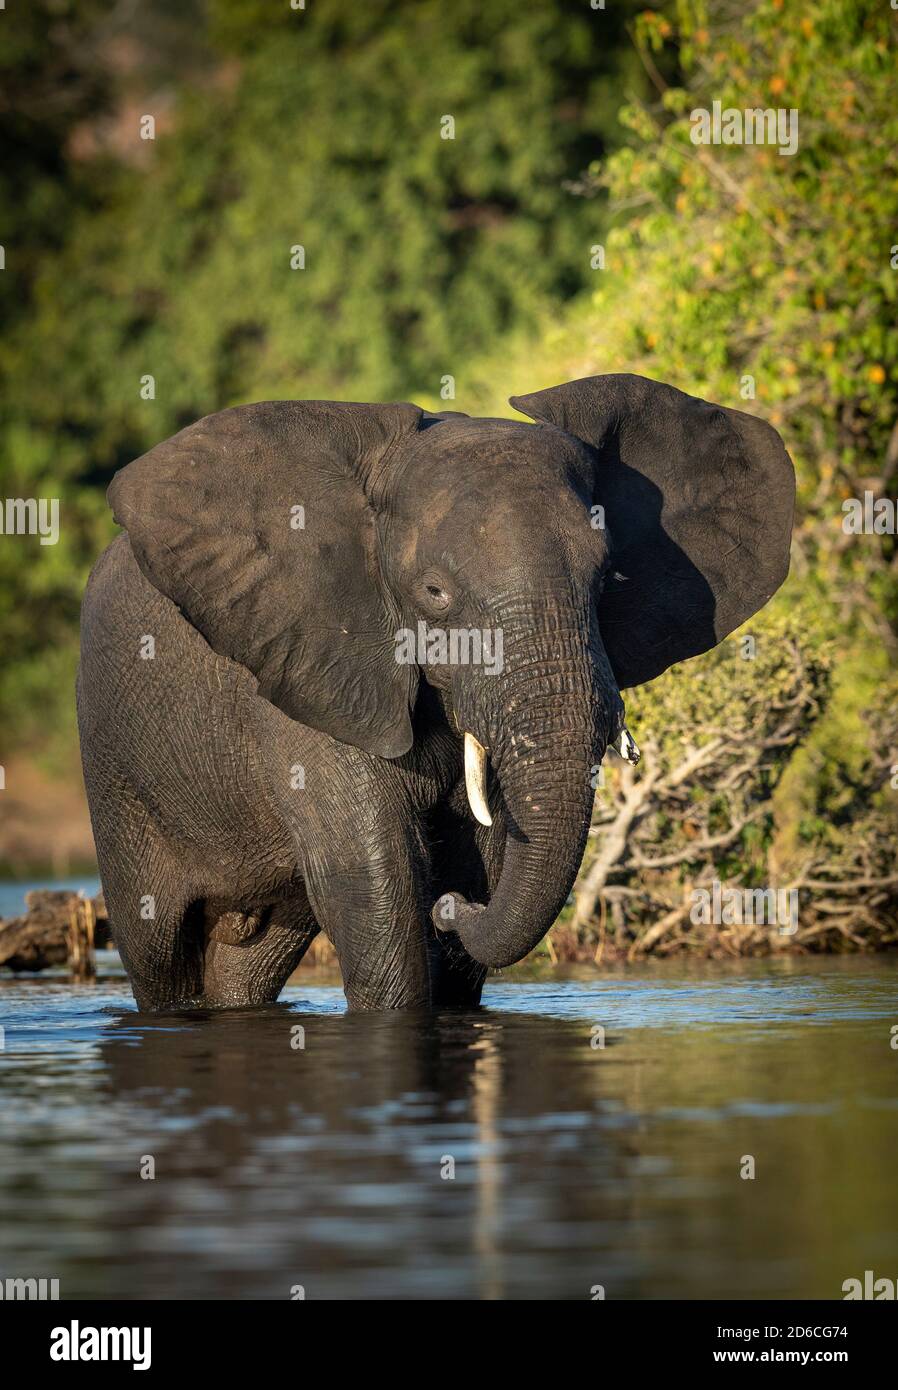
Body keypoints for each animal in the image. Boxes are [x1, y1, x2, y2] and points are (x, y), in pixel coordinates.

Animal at [75, 380, 795, 1011]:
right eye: (433, 594)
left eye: (605, 578)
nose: (450, 912)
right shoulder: (311, 677)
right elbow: (375, 890)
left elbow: (481, 861)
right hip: (120, 784)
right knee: (161, 959)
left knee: (246, 966)